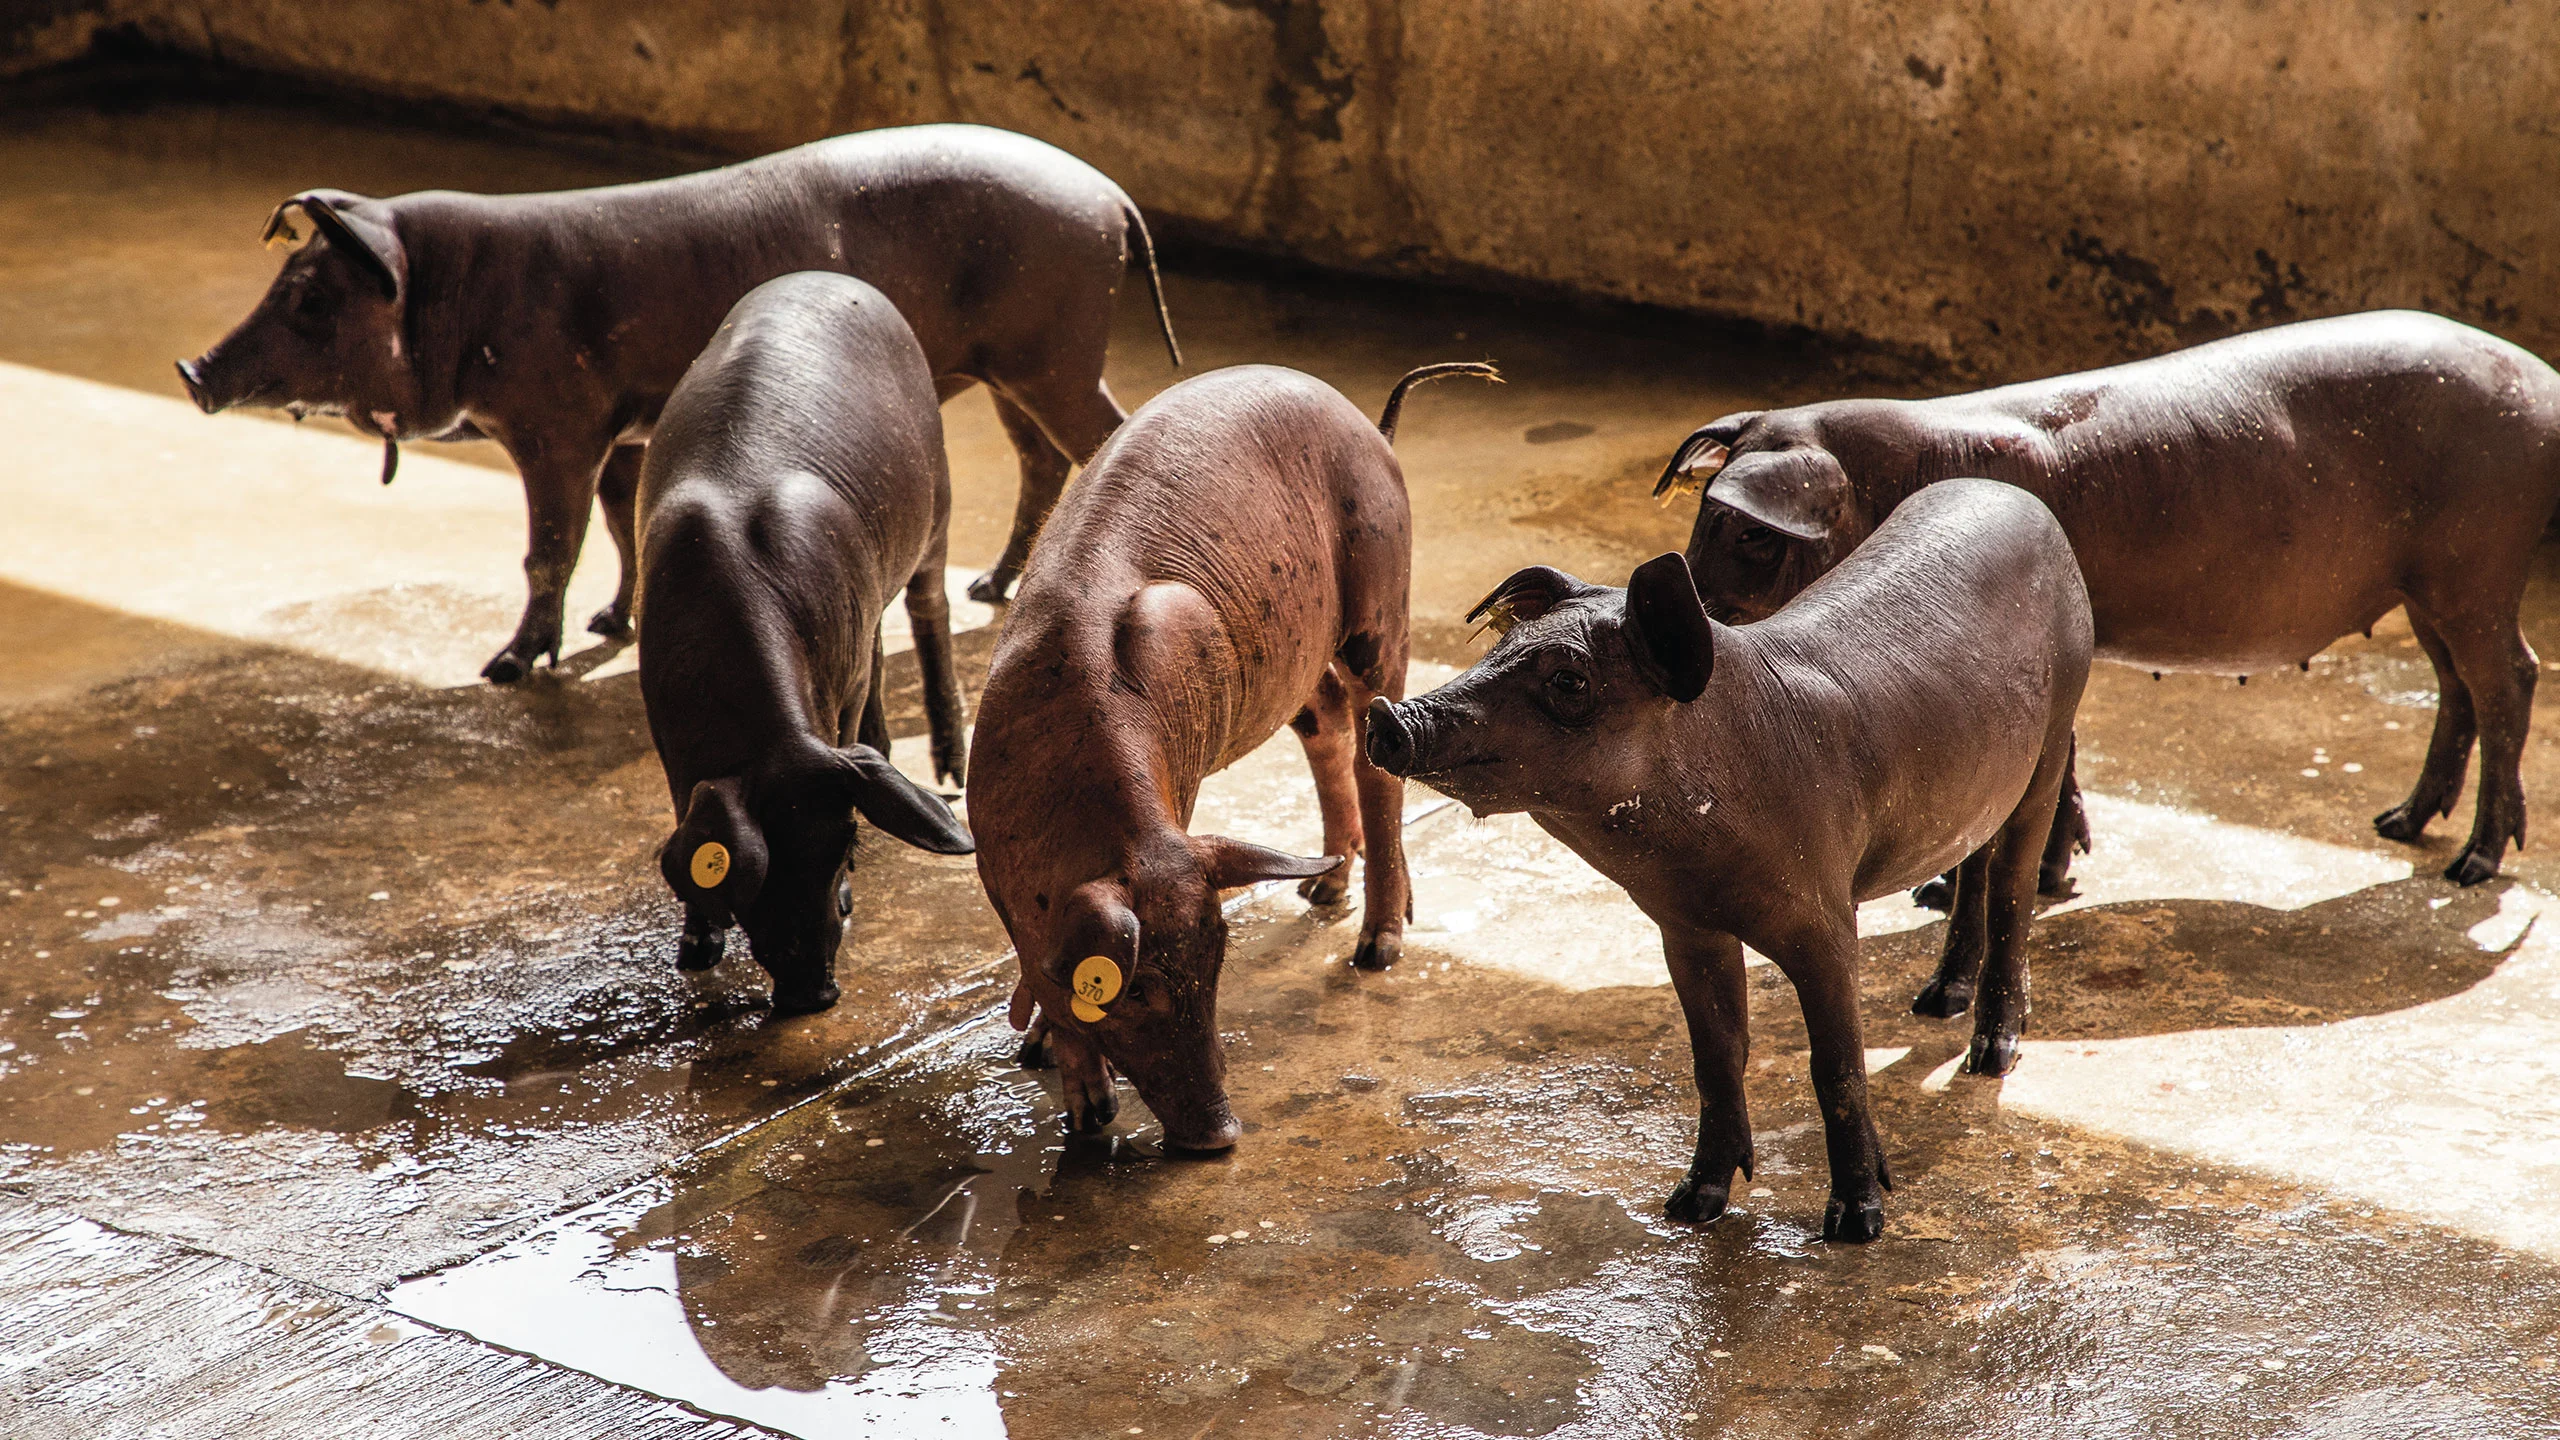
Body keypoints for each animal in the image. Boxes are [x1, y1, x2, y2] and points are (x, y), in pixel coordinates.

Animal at [177, 123, 1181, 685]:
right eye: (286, 279)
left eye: (312, 298)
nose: (192, 367)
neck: (454, 294)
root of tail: (1112, 196)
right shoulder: (620, 427)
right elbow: (621, 523)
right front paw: (608, 625)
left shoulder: (555, 424)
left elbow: (551, 547)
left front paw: (506, 668)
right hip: (1017, 363)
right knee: (1039, 458)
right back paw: (989, 588)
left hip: (1056, 350)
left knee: (1103, 436)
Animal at [638, 272, 975, 1016]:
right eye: (763, 865)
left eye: (845, 847)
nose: (816, 991)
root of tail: (834, 278)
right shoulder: (670, 733)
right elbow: (685, 815)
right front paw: (694, 954)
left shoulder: (836, 702)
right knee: (881, 643)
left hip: (938, 506)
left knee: (929, 609)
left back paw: (951, 769)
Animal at [967, 361, 1498, 1151]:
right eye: (1138, 986)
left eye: (1219, 959)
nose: (1221, 1134)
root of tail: (1369, 426)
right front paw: (1059, 1083)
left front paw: (1090, 1117)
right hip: (1302, 652)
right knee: (1326, 721)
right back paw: (1323, 888)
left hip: (1384, 591)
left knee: (1378, 754)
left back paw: (1376, 947)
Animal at [1365, 480, 2093, 1242]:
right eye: (1501, 645)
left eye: (1568, 681)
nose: (1385, 714)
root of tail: (2013, 494)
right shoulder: (1684, 927)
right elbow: (1715, 1056)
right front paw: (1690, 1207)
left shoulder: (1827, 915)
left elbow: (1836, 1066)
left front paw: (1855, 1224)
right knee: (1974, 862)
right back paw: (1933, 1002)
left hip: (2056, 732)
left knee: (2012, 885)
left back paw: (1990, 1057)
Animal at [1658, 310, 2560, 890]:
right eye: (1702, 517)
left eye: (1748, 534)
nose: (1688, 614)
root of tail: (2544, 384)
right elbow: (2068, 754)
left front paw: (1978, 891)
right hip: (2427, 585)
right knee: (2455, 685)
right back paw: (2398, 824)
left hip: (2479, 559)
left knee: (2510, 677)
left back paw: (2472, 865)